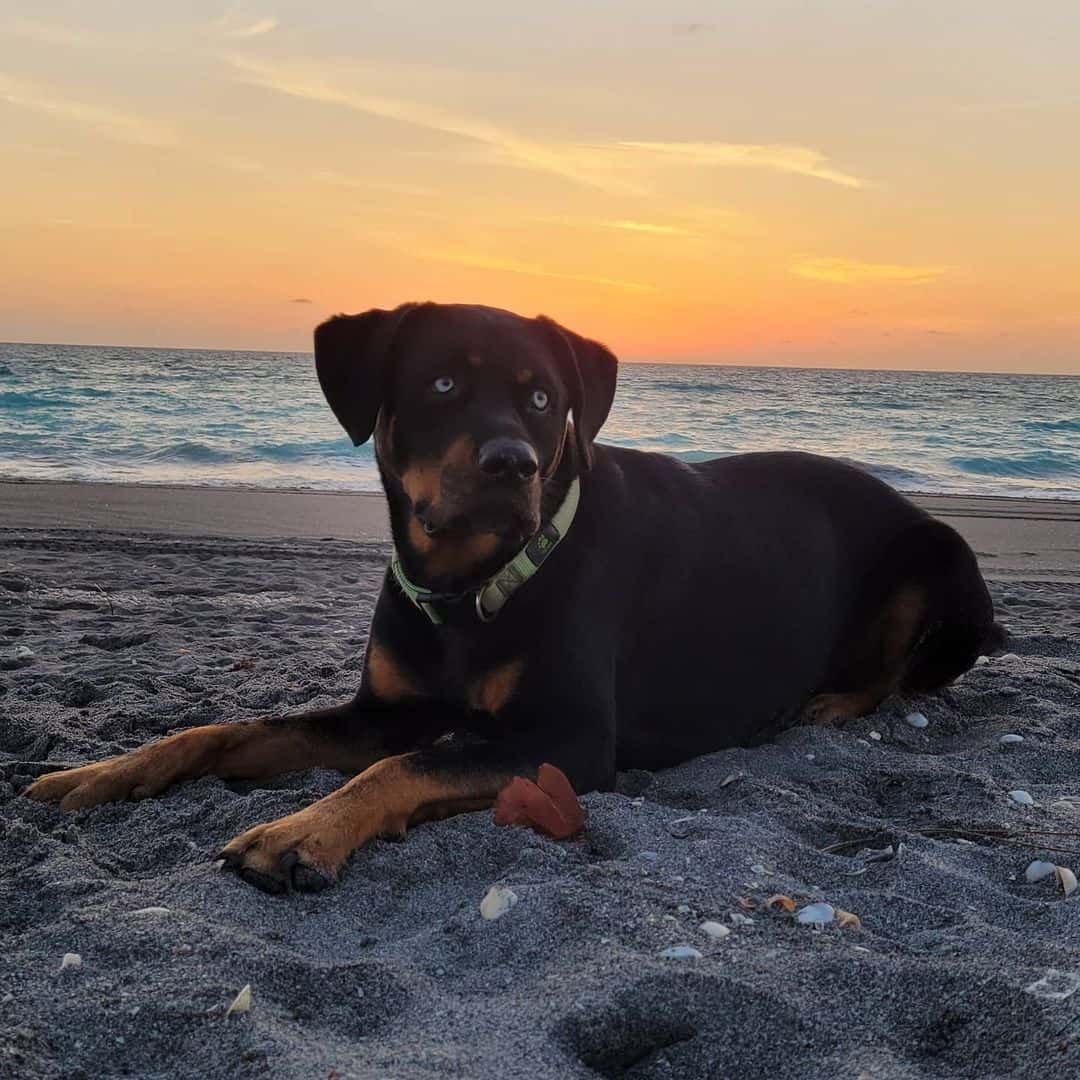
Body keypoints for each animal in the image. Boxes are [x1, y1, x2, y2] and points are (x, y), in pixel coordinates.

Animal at [23, 304, 1002, 894]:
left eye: (540, 397)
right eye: (443, 384)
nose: (512, 464)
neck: (467, 587)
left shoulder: (566, 737)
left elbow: (406, 766)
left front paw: (300, 832)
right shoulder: (383, 709)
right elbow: (224, 730)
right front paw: (101, 772)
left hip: (942, 559)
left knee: (903, 673)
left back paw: (828, 703)